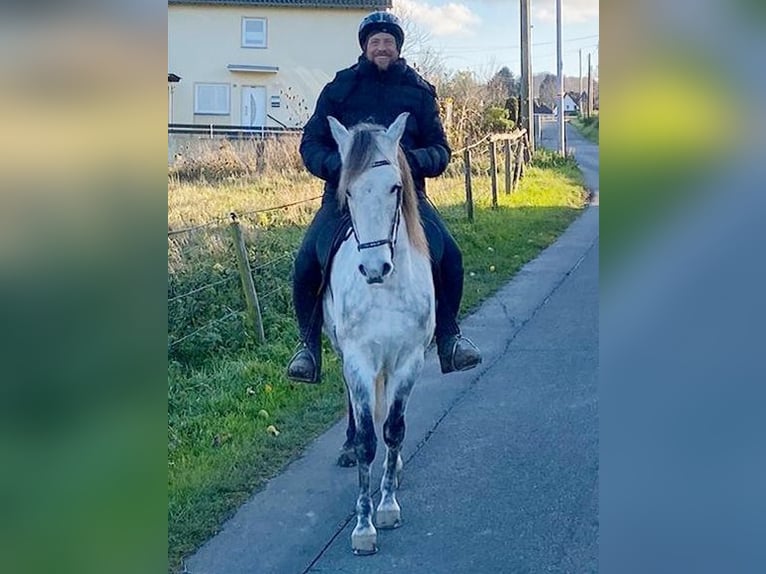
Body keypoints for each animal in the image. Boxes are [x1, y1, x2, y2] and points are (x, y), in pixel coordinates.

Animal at [322, 113, 436, 560]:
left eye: (395, 188)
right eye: (349, 191)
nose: (373, 268)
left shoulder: (409, 359)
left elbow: (394, 429)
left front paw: (386, 506)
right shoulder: (358, 359)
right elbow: (369, 440)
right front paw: (363, 526)